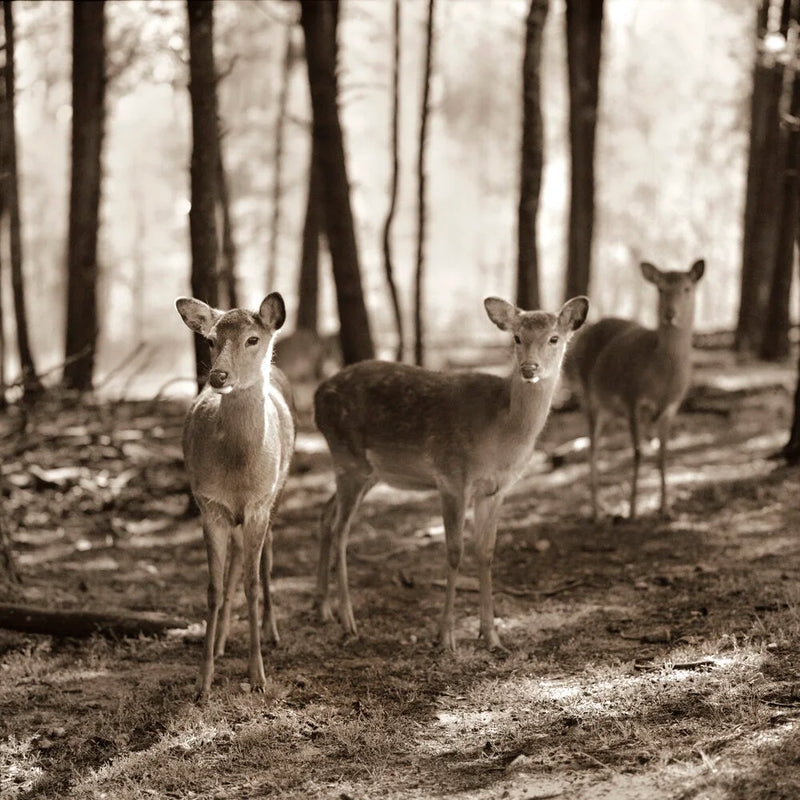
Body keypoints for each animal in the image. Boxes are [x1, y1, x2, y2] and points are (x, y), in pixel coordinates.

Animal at [176, 293, 296, 701]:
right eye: (211, 340)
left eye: (252, 339)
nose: (218, 376)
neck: (238, 473)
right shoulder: (208, 504)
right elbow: (213, 587)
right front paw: (202, 681)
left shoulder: (259, 503)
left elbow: (253, 584)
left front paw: (258, 676)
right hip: (233, 517)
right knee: (234, 566)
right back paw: (223, 641)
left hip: (278, 494)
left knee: (266, 560)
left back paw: (273, 632)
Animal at [313, 295, 589, 651]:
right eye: (516, 337)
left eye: (554, 338)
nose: (529, 369)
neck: (502, 430)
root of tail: (317, 397)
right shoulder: (452, 477)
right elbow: (455, 552)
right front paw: (445, 636)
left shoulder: (496, 490)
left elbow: (486, 552)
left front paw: (492, 636)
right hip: (349, 459)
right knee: (340, 530)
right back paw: (348, 620)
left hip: (365, 471)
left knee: (325, 514)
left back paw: (322, 609)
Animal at [564, 259, 705, 520]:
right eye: (660, 288)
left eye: (687, 288)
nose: (670, 314)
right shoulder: (633, 398)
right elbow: (638, 452)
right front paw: (631, 512)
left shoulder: (671, 407)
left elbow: (663, 455)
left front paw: (665, 509)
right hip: (588, 397)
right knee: (593, 449)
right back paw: (597, 512)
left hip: (608, 408)